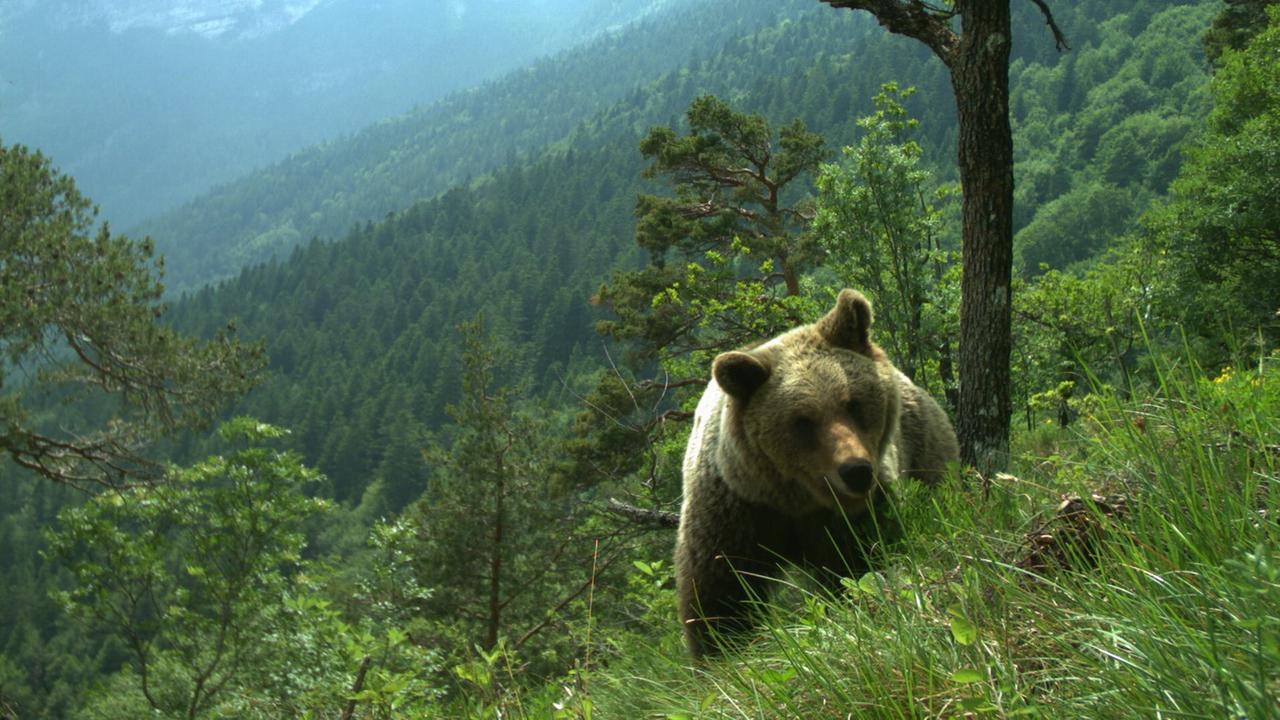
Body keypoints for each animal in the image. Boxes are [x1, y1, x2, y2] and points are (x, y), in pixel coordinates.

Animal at [675, 286, 957, 655]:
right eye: (802, 421)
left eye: (853, 403)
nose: (856, 471)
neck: (797, 500)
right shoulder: (736, 511)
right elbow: (720, 590)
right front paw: (722, 649)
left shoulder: (855, 516)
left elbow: (863, 564)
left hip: (925, 446)